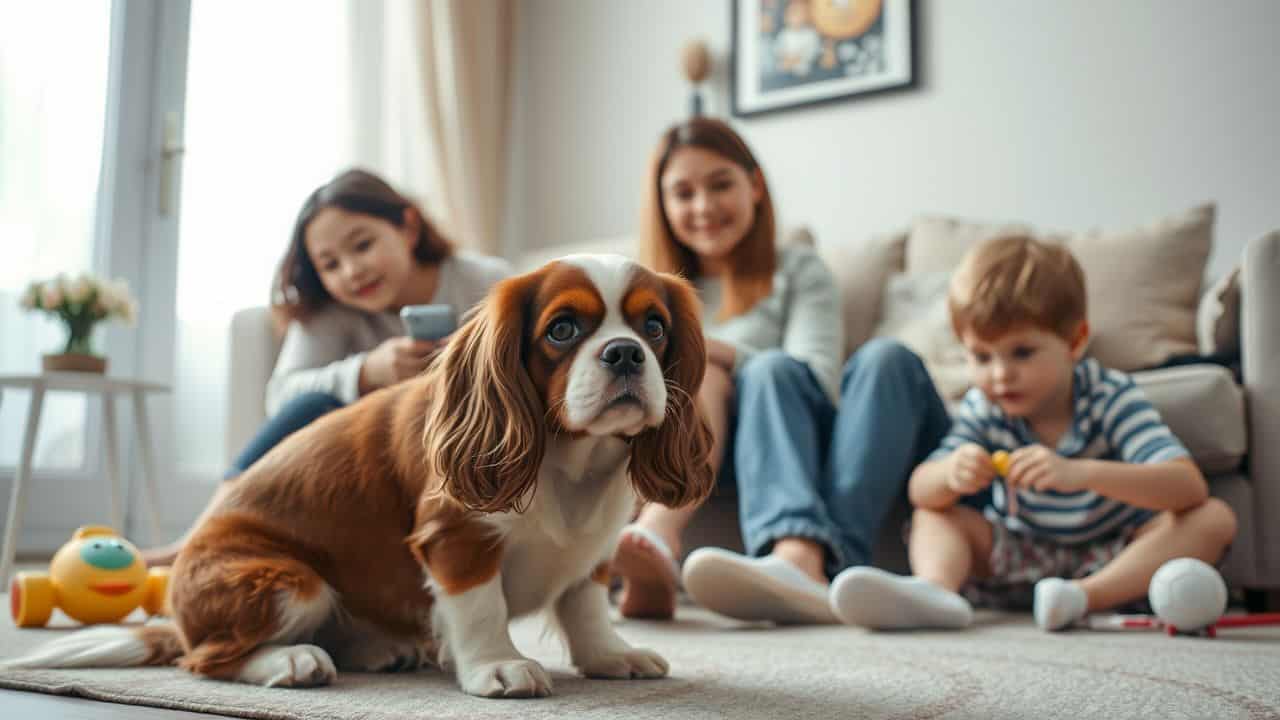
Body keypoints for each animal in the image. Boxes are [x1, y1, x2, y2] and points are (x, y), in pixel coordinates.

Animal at [5, 253, 716, 696]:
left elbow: (586, 605)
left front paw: (609, 656)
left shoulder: (592, 551)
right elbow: (481, 608)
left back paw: (380, 649)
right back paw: (292, 658)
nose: (624, 353)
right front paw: (497, 666)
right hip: (288, 582)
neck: (570, 456)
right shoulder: (455, 537)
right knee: (204, 660)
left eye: (655, 327)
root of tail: (177, 614)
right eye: (562, 330)